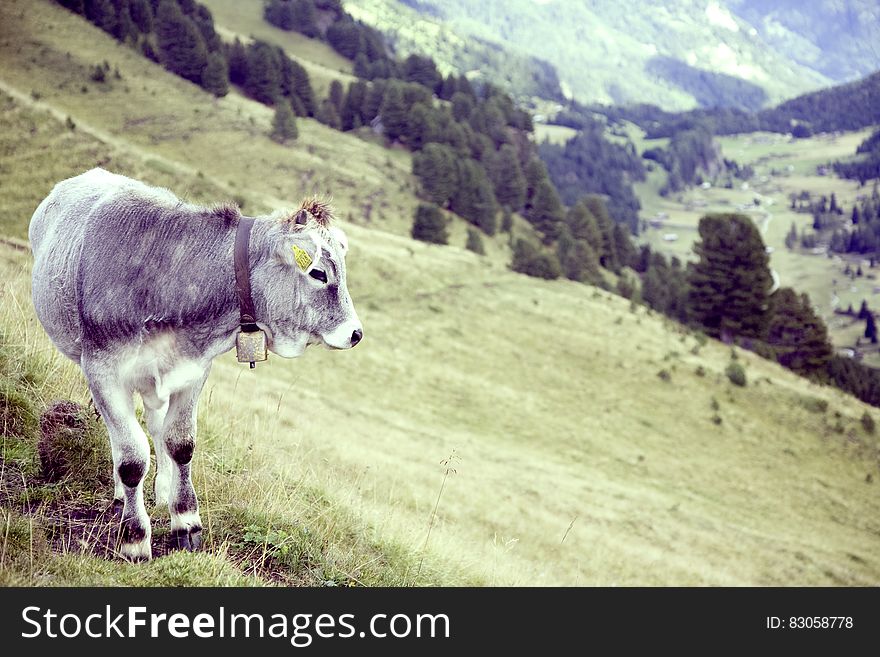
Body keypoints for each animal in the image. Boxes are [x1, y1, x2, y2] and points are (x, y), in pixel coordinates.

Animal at [31, 168, 360, 560]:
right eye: (318, 273)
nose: (355, 333)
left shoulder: (192, 371)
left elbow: (180, 443)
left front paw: (185, 520)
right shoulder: (102, 371)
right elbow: (131, 458)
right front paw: (134, 538)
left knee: (155, 427)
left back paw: (162, 490)